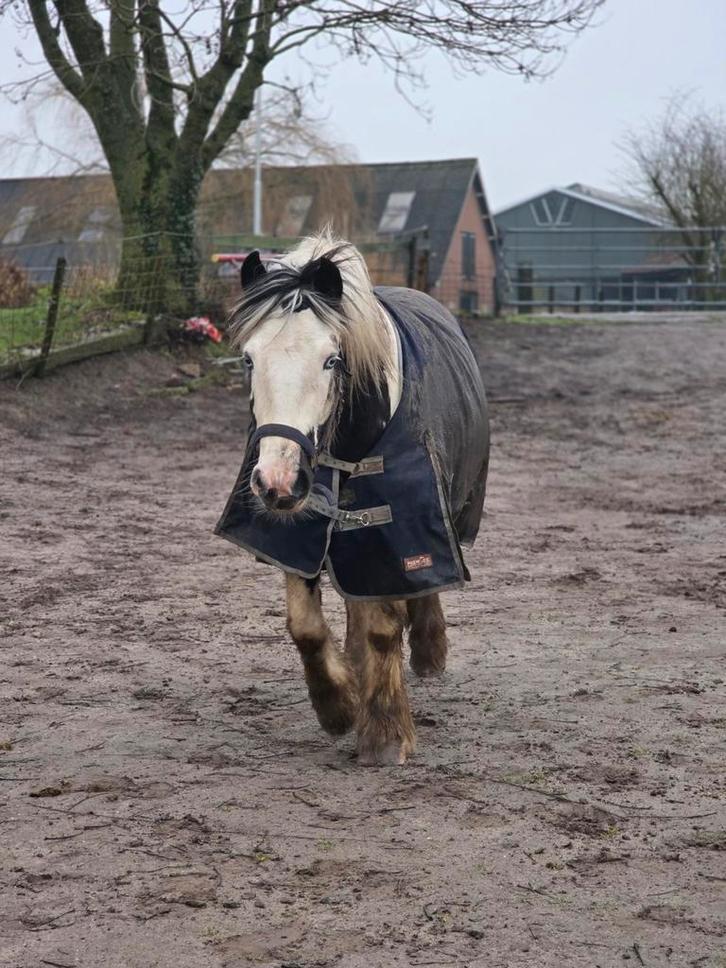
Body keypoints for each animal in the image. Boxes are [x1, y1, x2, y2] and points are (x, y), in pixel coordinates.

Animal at [216, 231, 489, 765]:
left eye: (331, 359)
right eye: (249, 359)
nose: (276, 481)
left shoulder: (395, 528)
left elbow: (386, 622)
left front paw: (384, 732)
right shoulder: (300, 533)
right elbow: (306, 625)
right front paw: (339, 703)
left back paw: (427, 651)